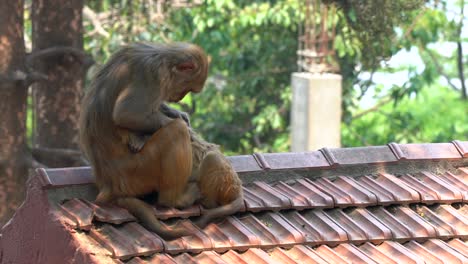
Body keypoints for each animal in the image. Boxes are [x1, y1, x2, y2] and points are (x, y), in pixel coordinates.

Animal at [79, 41, 207, 239]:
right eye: (189, 88)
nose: (180, 98)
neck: (163, 59)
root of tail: (108, 184)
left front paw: (177, 113)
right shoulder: (152, 77)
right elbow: (125, 114)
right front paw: (185, 128)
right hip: (139, 171)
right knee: (175, 132)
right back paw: (174, 200)